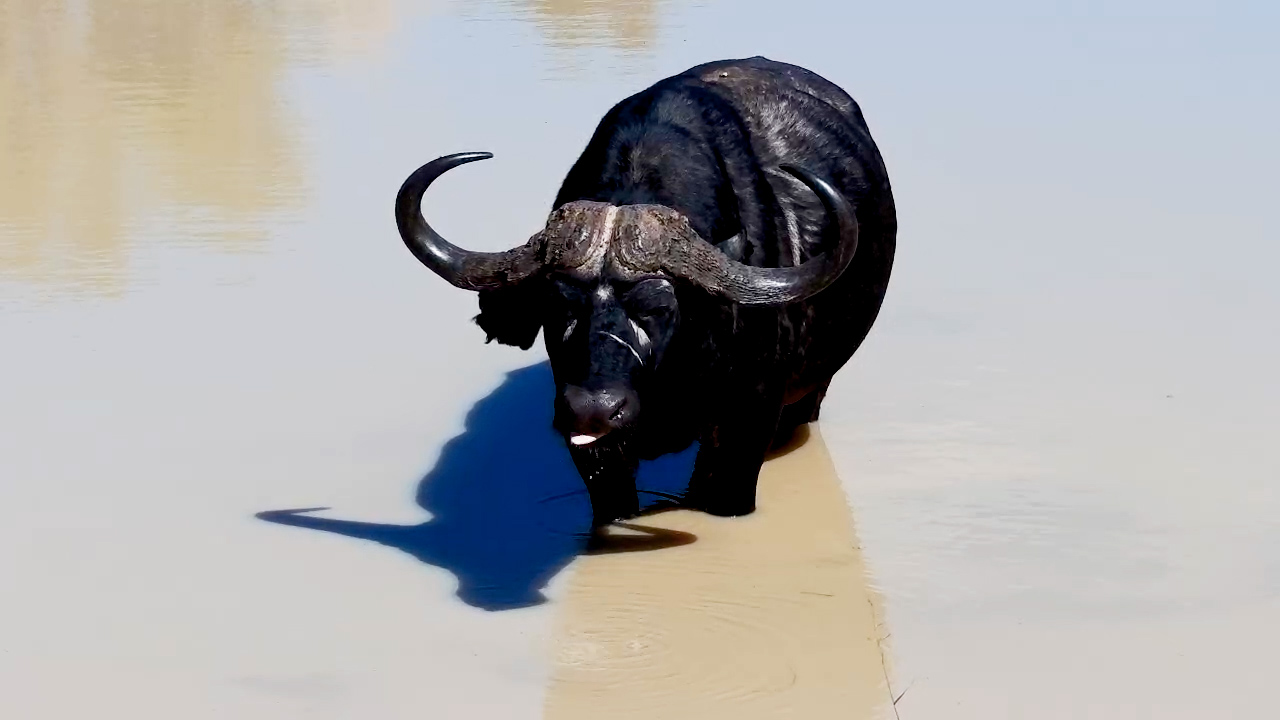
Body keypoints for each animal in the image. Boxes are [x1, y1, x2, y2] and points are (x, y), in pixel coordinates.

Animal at [395, 56, 896, 527]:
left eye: (657, 308)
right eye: (557, 308)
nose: (595, 409)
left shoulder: (745, 427)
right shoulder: (593, 447)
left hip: (809, 394)